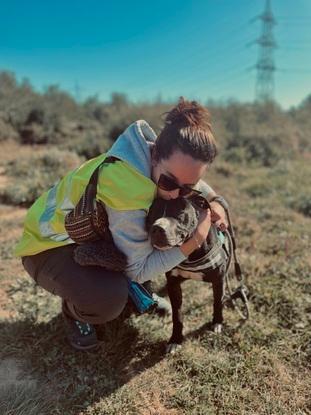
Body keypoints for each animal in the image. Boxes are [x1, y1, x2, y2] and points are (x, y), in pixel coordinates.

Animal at [147, 197, 232, 352]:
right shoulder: (174, 284)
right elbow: (177, 315)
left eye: (180, 213)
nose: (157, 228)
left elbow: (217, 302)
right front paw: (175, 340)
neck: (190, 255)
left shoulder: (219, 280)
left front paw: (217, 322)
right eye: (151, 213)